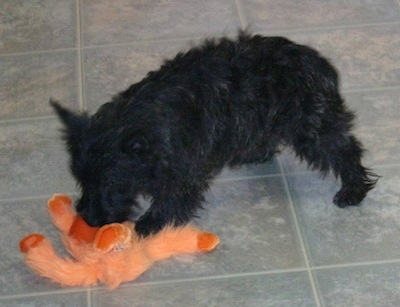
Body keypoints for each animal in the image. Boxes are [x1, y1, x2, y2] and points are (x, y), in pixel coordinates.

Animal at [50, 32, 378, 237]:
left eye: (111, 183)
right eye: (81, 179)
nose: (89, 219)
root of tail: (319, 63)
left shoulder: (184, 168)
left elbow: (173, 197)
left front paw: (151, 223)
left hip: (312, 129)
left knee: (346, 150)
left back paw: (353, 189)